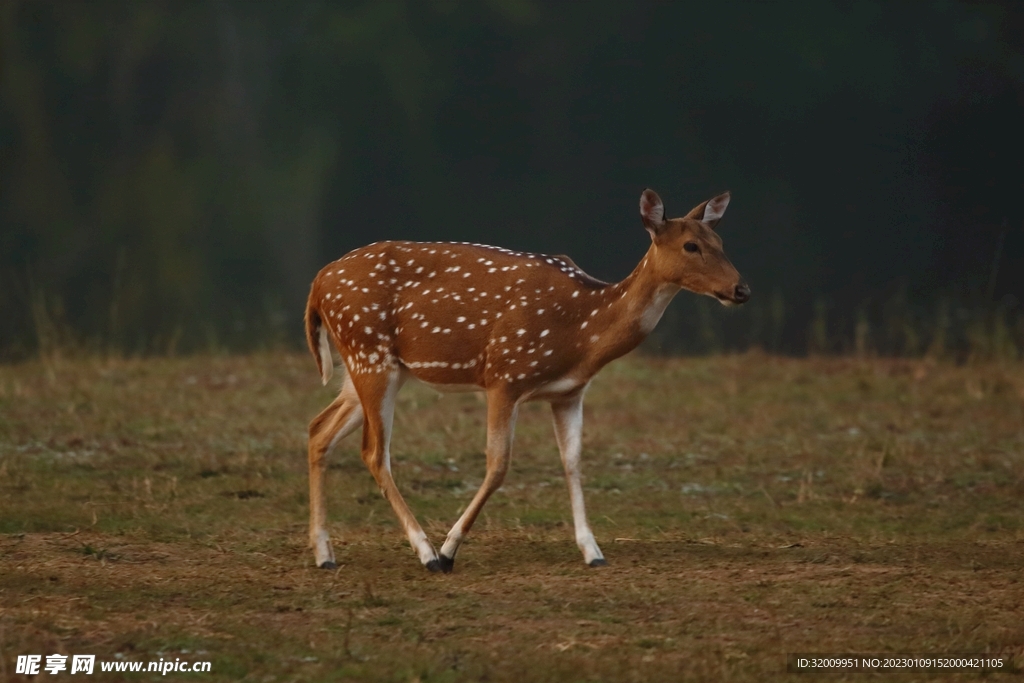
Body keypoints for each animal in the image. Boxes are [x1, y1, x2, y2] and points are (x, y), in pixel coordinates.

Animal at [303, 189, 749, 572]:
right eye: (691, 245)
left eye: (719, 239)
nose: (741, 289)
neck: (583, 333)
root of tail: (318, 284)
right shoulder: (504, 374)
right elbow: (498, 465)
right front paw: (449, 551)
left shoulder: (569, 393)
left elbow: (573, 462)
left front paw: (593, 551)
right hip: (370, 353)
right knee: (374, 451)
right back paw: (426, 553)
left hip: (366, 367)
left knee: (319, 429)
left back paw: (325, 554)